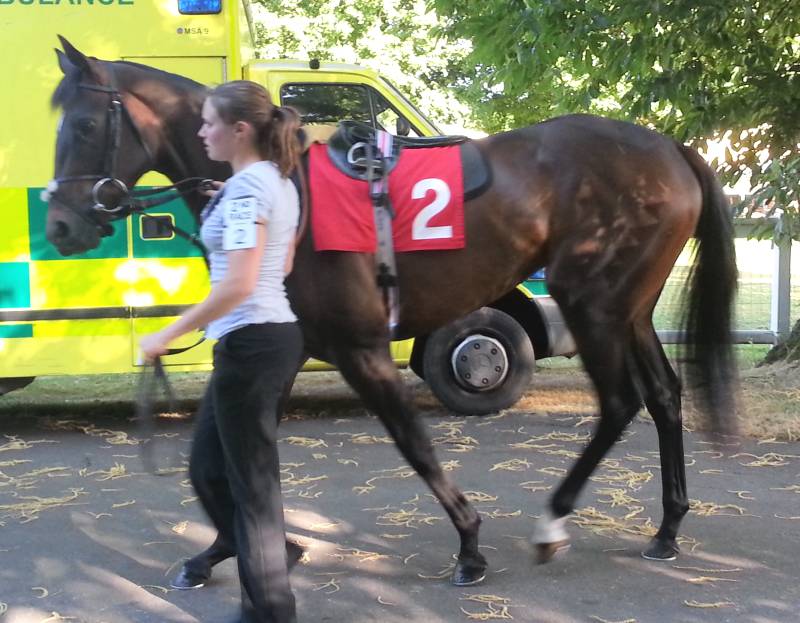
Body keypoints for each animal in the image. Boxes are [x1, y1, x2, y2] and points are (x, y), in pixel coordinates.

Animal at [46, 37, 737, 586]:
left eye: (84, 127)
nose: (60, 225)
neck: (285, 188)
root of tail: (671, 149)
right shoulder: (285, 346)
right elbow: (219, 453)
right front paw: (222, 549)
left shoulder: (360, 348)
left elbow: (413, 442)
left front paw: (469, 545)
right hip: (629, 310)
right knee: (664, 395)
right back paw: (667, 529)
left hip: (590, 303)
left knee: (620, 403)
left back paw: (553, 523)